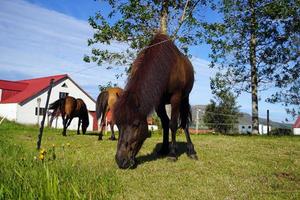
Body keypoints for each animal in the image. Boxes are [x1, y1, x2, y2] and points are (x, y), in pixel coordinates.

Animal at [113, 32, 198, 169]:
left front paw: (172, 154)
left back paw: (191, 150)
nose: (121, 160)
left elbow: (173, 124)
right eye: (117, 124)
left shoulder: (176, 97)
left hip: (185, 99)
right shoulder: (158, 102)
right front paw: (165, 149)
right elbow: (165, 123)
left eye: (136, 124)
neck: (165, 67)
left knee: (184, 123)